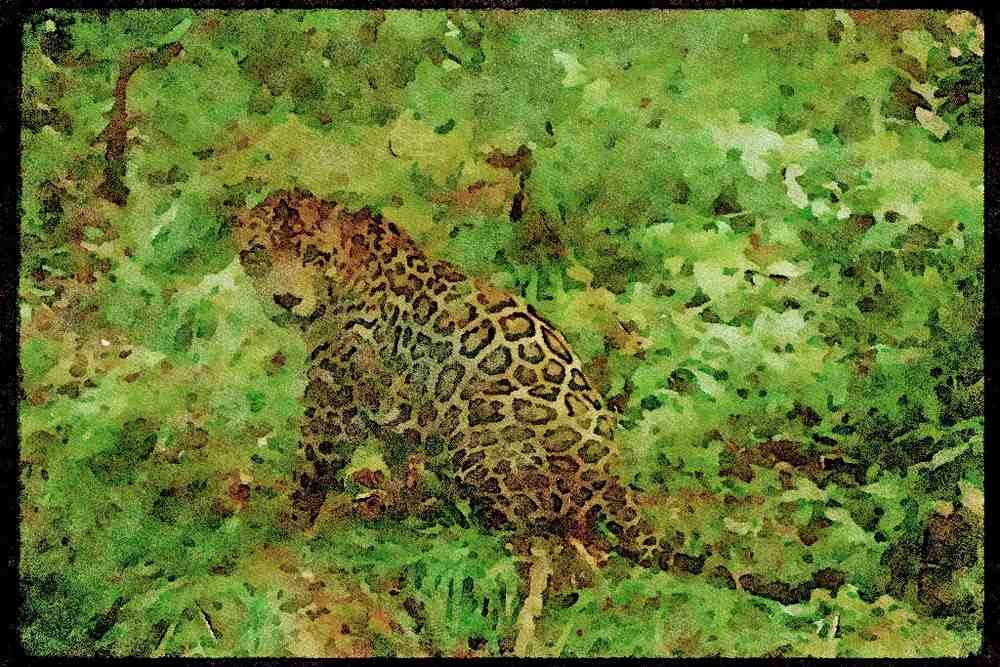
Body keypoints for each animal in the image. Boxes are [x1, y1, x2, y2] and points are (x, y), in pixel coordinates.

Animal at [230, 188, 664, 568]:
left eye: (313, 256)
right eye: (259, 253)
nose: (286, 299)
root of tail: (609, 478)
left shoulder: (334, 398)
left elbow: (313, 468)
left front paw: (284, 529)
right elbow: (398, 459)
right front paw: (397, 507)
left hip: (473, 433)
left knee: (522, 524)